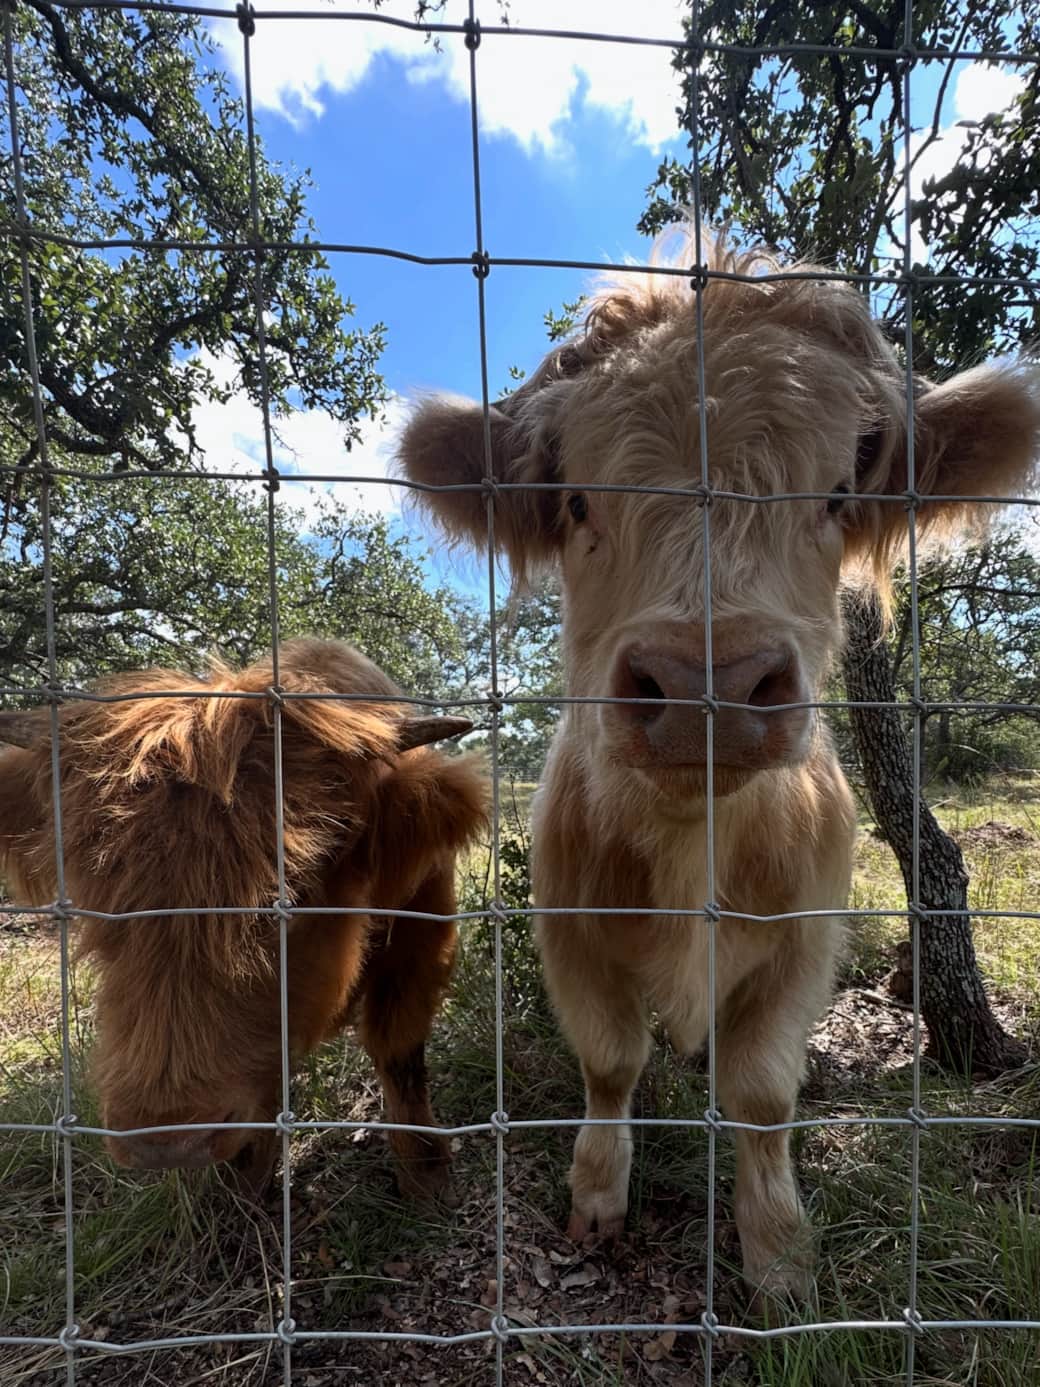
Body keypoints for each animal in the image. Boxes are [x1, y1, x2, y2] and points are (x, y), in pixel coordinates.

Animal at [0, 638, 487, 1198]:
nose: (165, 1141)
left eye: (295, 894)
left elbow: (399, 1050)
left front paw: (427, 1177)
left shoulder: (423, 933)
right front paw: (241, 1187)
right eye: (94, 904)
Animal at [398, 232, 1040, 1297]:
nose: (710, 681)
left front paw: (779, 1255)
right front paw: (597, 1197)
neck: (690, 843)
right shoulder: (569, 927)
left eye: (837, 494)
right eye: (577, 500)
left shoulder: (806, 937)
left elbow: (763, 1092)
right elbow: (610, 1062)